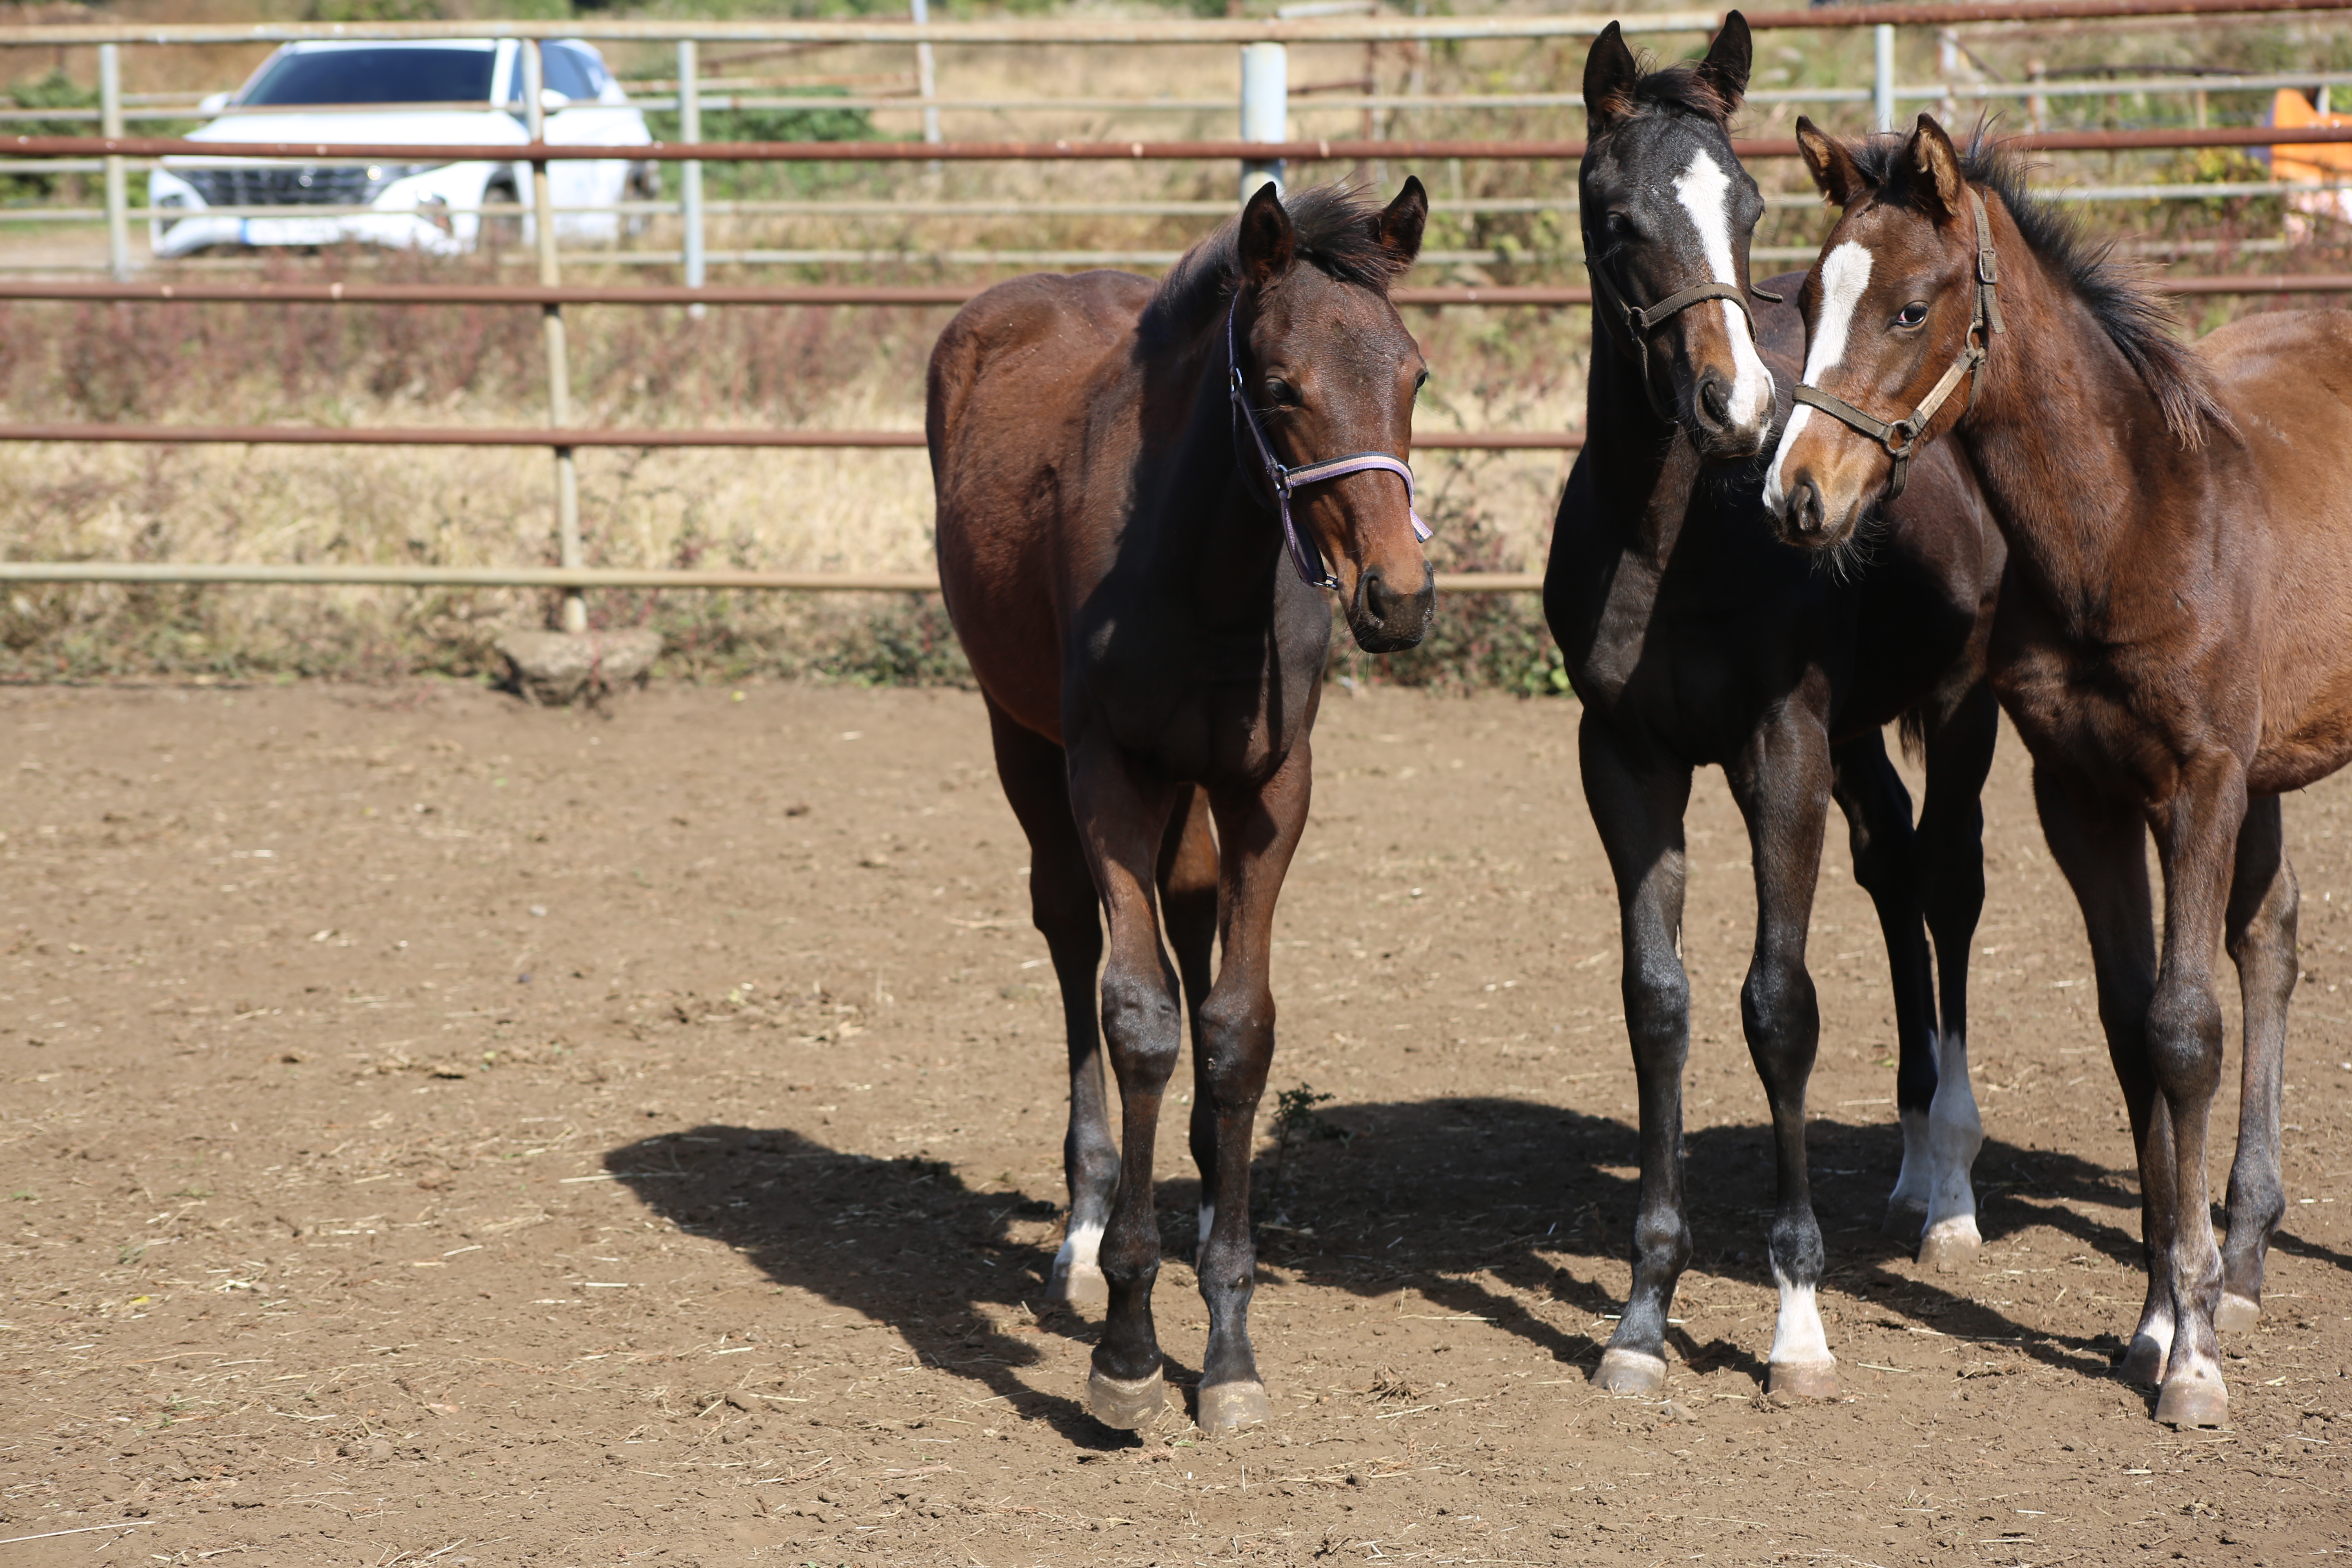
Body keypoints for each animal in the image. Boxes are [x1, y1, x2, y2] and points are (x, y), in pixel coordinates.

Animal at [931, 181, 1430, 1439]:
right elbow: (1142, 1017)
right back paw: (1081, 1229)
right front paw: (1125, 1345)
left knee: (1192, 907)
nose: (1399, 598)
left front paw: (1231, 1344)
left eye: (1413, 375)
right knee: (1070, 936)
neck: (1207, 573)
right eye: (1283, 387)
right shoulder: (1109, 774)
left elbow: (1237, 1028)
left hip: (1193, 791)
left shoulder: (1269, 788)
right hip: (1022, 736)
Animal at [1543, 21, 2004, 1401]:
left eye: (1747, 208)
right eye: (1617, 216)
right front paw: (1642, 1312)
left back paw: (1952, 1191)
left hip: (1958, 710)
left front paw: (1798, 1315)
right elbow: (1661, 1001)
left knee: (1949, 884)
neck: (1678, 536)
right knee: (1895, 871)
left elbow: (1777, 1004)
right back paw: (1911, 1153)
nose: (1738, 411)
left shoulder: (1779, 749)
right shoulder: (1625, 758)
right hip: (1859, 738)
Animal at [1768, 116, 2352, 1429]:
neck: (2133, 523)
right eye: (1806, 296)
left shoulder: (2198, 784)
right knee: (2271, 937)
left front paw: (2193, 1366)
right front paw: (2161, 1319)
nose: (1795, 493)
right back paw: (2247, 1258)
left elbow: (2185, 1029)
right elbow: (2132, 1029)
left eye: (1911, 308)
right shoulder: (2079, 798)